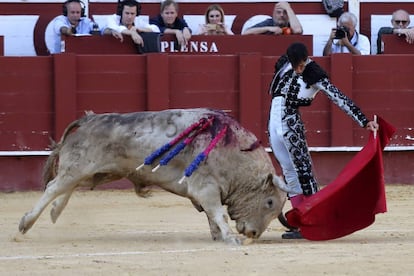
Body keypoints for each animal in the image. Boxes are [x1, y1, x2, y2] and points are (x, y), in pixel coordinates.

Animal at [17, 109, 286, 245]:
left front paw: (218, 236)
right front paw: (230, 238)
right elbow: (218, 213)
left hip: (98, 171)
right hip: (80, 165)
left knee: (67, 186)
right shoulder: (206, 188)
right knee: (54, 186)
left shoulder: (209, 192)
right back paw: (26, 223)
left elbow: (212, 216)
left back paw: (55, 212)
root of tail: (88, 119)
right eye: (269, 202)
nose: (253, 234)